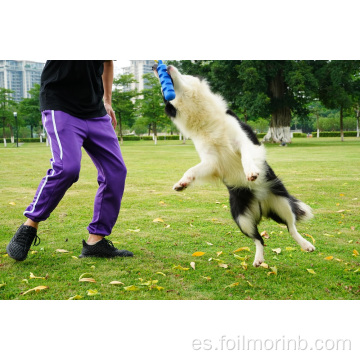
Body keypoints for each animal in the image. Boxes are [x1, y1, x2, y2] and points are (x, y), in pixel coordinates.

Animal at [152, 63, 316, 266]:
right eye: (162, 90)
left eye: (185, 74)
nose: (155, 66)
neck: (202, 117)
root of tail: (261, 205)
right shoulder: (211, 161)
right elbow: (193, 169)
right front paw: (182, 183)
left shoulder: (244, 139)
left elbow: (246, 155)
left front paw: (251, 172)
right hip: (241, 217)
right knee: (258, 238)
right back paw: (258, 259)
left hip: (282, 200)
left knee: (291, 227)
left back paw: (306, 245)